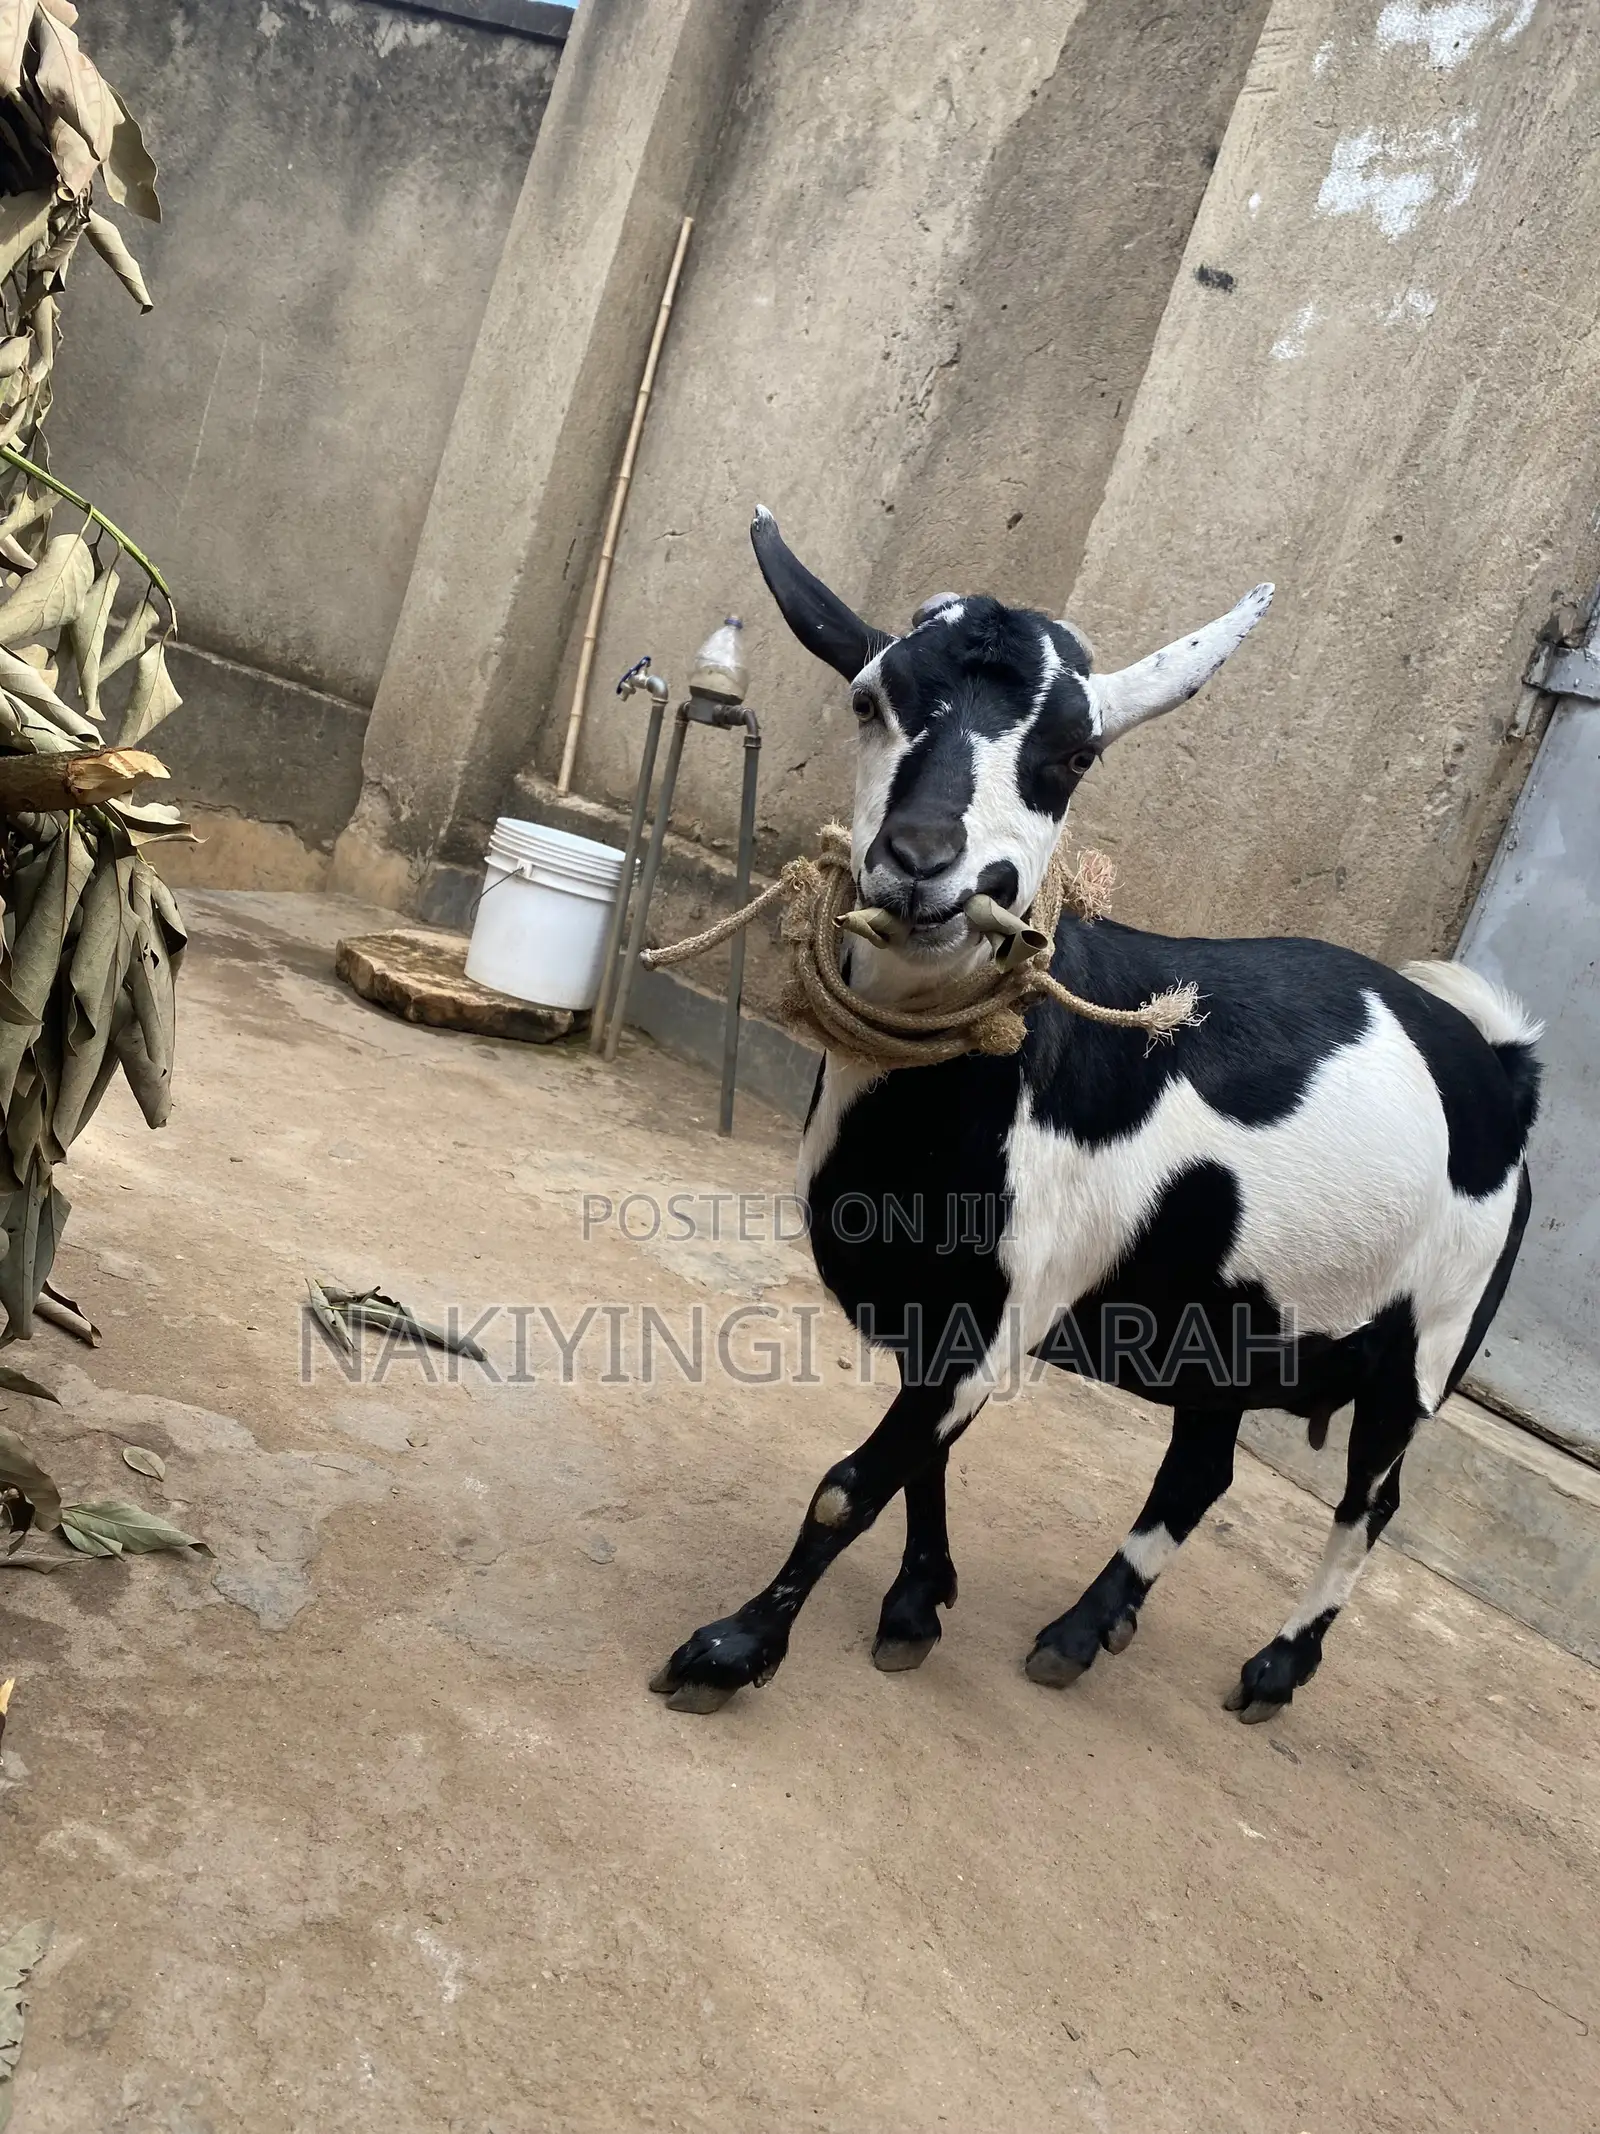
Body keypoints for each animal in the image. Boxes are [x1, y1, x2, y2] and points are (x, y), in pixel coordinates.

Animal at [649, 509, 1541, 1724]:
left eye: (1076, 754)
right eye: (868, 698)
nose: (923, 864)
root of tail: (1499, 1067)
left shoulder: (1009, 1299)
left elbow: (852, 1484)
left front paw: (732, 1647)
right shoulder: (945, 1310)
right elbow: (920, 1464)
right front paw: (916, 1606)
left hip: (1428, 1337)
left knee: (1371, 1501)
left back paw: (1275, 1668)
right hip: (1238, 1312)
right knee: (1202, 1466)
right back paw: (1083, 1628)